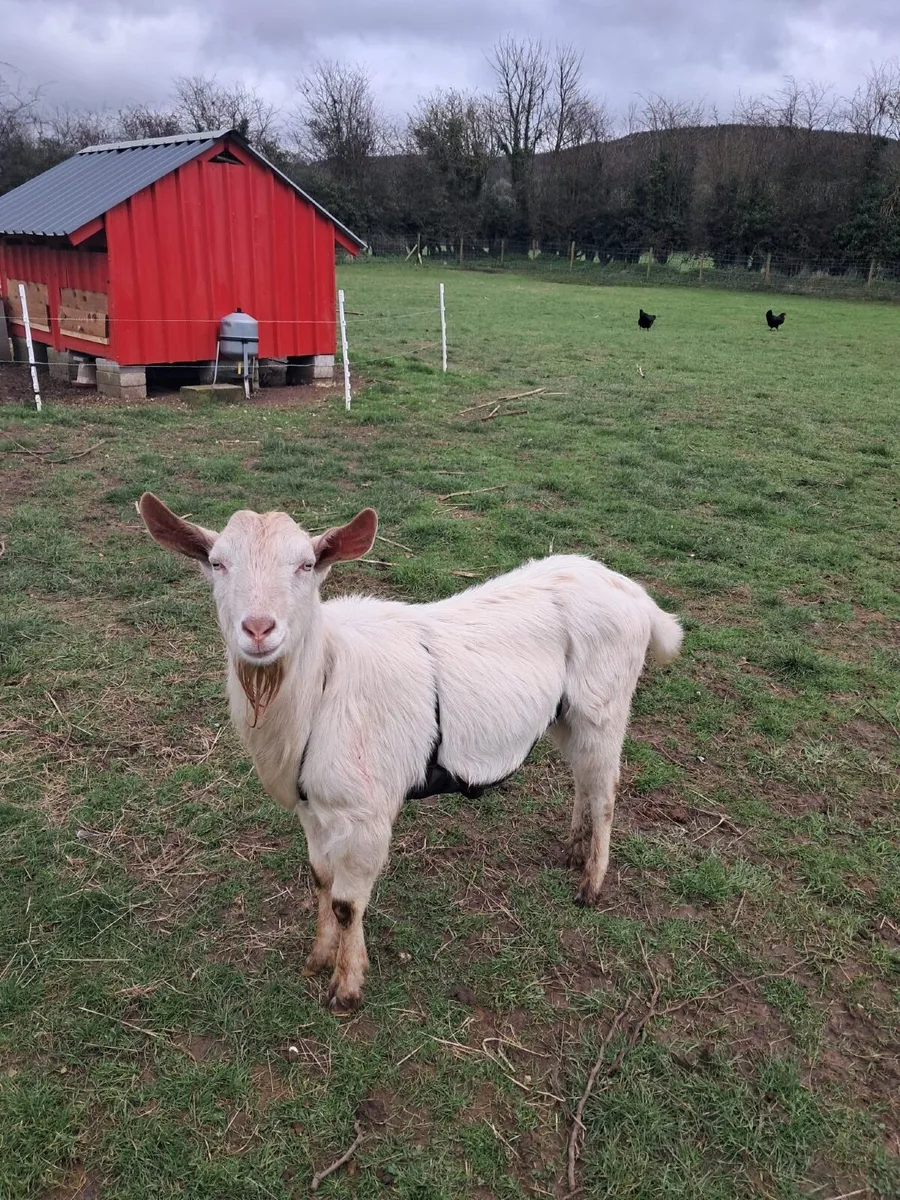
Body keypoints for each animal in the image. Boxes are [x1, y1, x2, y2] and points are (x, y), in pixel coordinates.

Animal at [138, 494, 683, 1013]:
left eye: (306, 565)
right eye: (217, 562)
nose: (258, 629)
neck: (322, 686)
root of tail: (636, 596)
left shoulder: (366, 814)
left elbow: (347, 903)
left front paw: (347, 988)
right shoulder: (314, 809)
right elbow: (320, 880)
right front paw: (318, 958)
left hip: (603, 707)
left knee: (605, 790)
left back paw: (590, 884)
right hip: (565, 717)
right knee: (584, 782)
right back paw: (572, 851)